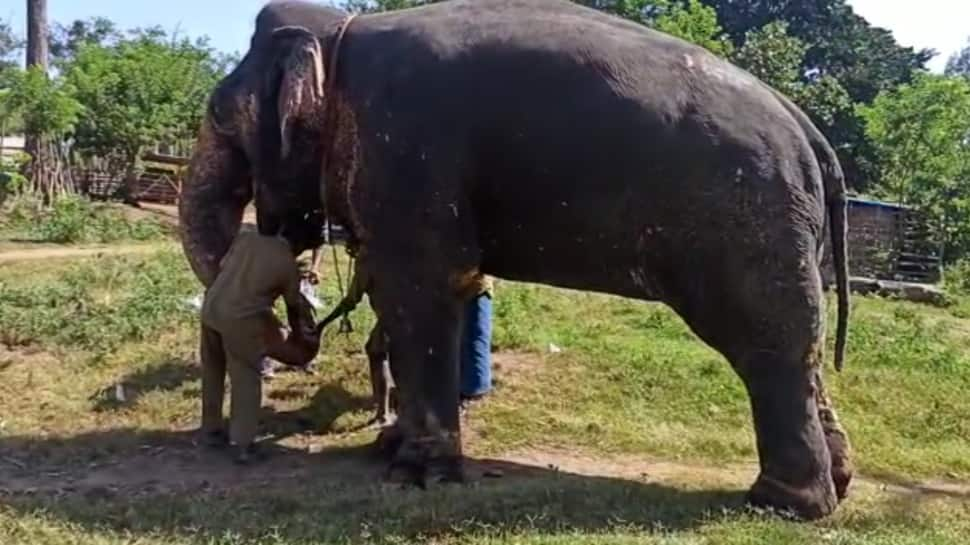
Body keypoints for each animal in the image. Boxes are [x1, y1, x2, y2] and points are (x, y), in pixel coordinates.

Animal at [178, 0, 852, 520]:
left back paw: (780, 503)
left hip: (746, 222)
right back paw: (836, 486)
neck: (339, 33)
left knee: (767, 346)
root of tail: (810, 132)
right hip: (787, 232)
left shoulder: (407, 153)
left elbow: (419, 291)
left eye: (219, 117)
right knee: (805, 348)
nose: (305, 317)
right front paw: (390, 449)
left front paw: (416, 474)